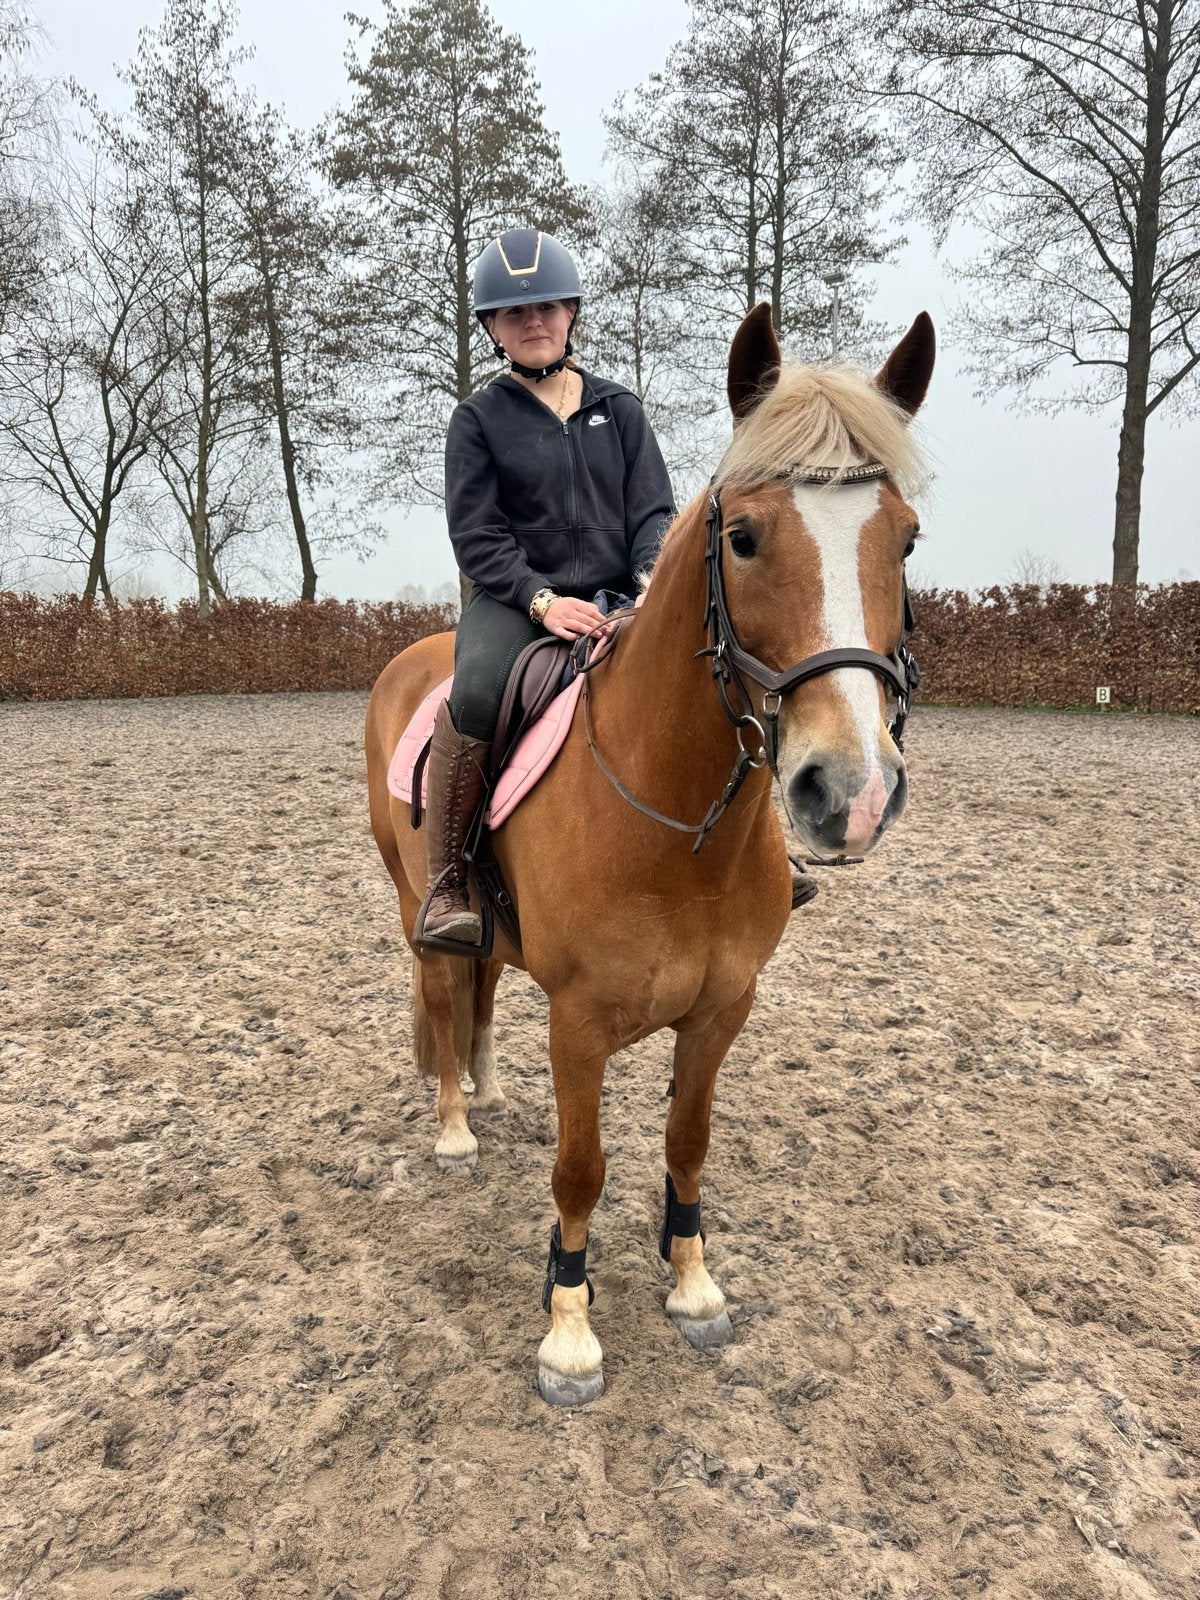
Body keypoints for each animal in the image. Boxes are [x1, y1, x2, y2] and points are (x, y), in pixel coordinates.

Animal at [365, 303, 935, 1405]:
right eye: (744, 538)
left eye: (907, 539)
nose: (849, 793)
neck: (678, 833)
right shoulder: (580, 1026)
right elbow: (580, 1169)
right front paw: (569, 1329)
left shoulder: (721, 1011)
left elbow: (687, 1141)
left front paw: (694, 1282)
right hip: (418, 906)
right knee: (444, 991)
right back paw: (456, 1121)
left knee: (480, 987)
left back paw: (486, 1089)